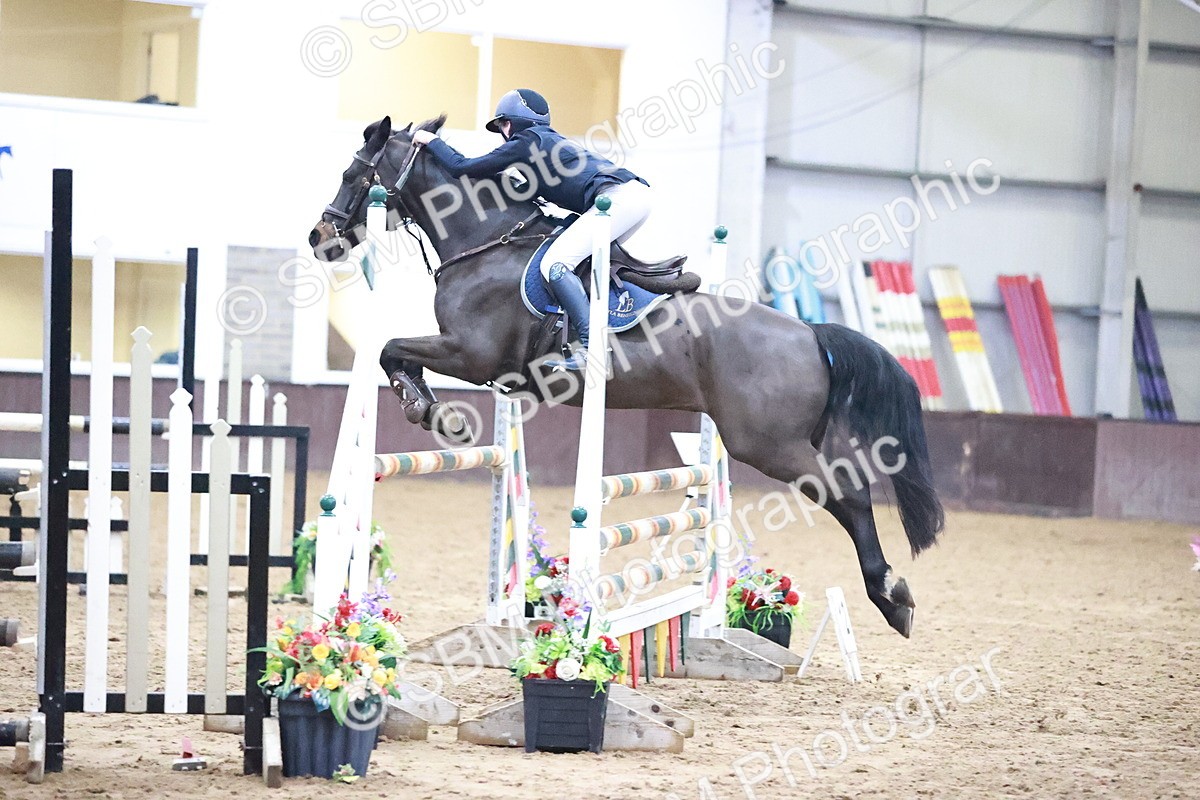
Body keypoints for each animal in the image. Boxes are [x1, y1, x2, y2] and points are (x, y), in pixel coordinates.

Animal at [308, 115, 945, 638]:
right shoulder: (474, 360)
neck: (483, 245)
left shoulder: (472, 354)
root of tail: (811, 332)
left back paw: (892, 596)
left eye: (351, 173)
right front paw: (432, 410)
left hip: (767, 443)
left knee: (850, 494)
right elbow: (397, 355)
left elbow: (390, 349)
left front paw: (432, 412)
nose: (321, 238)